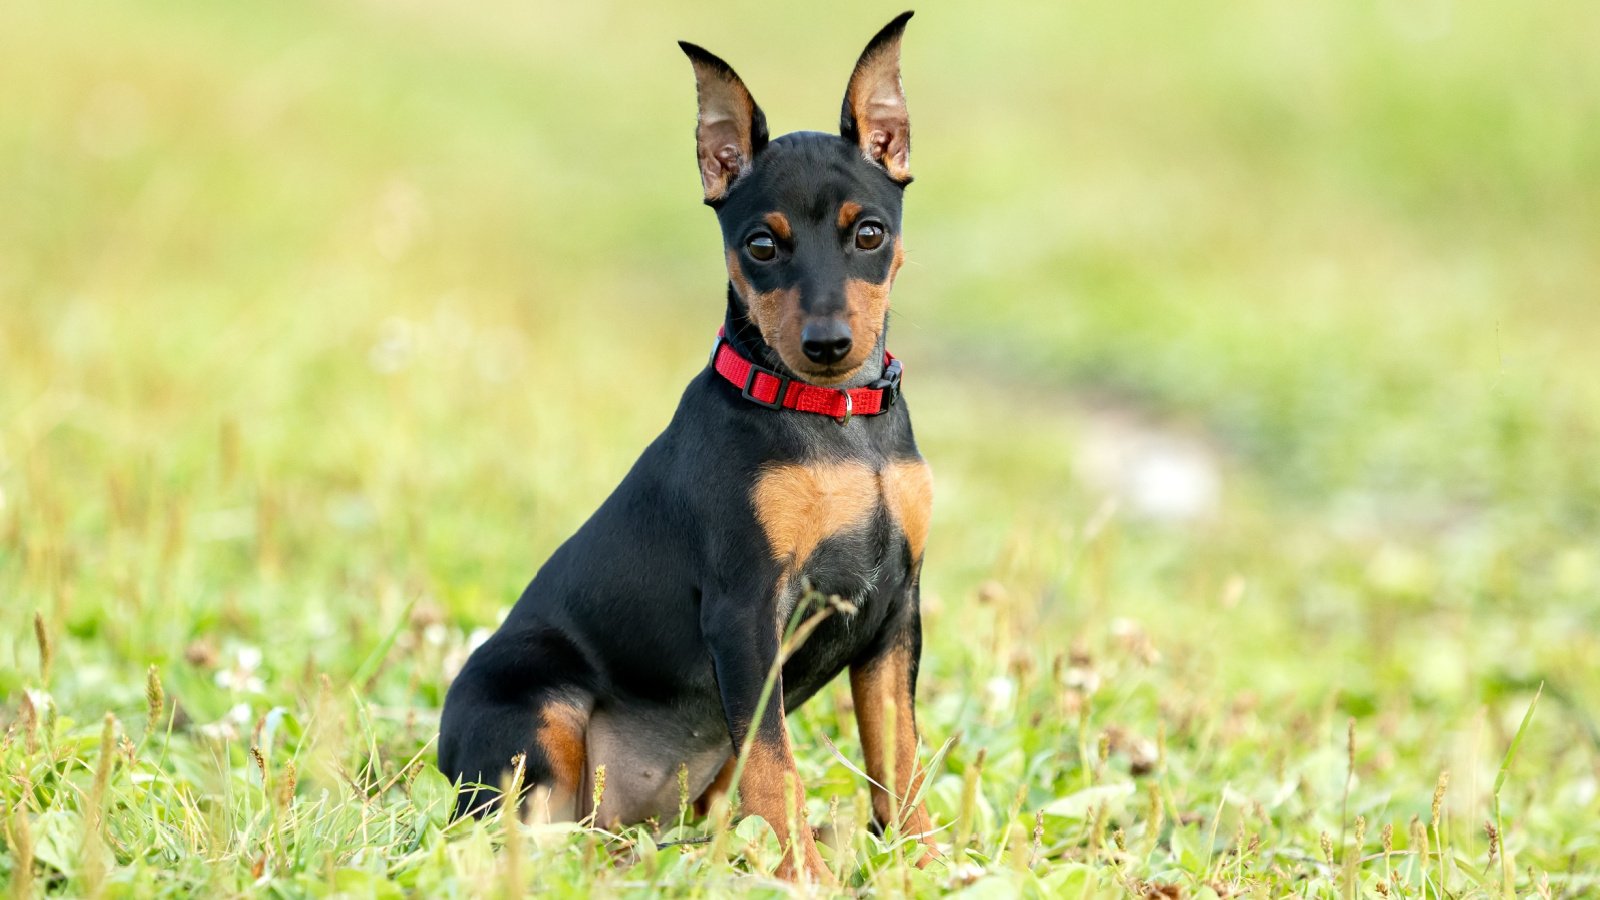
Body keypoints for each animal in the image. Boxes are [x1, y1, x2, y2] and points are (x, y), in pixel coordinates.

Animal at [438, 10, 934, 877]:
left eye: (869, 234)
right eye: (761, 247)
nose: (828, 345)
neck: (837, 420)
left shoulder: (894, 613)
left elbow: (898, 763)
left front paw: (932, 866)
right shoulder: (746, 612)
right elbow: (777, 767)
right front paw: (805, 878)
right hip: (538, 712)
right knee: (524, 824)